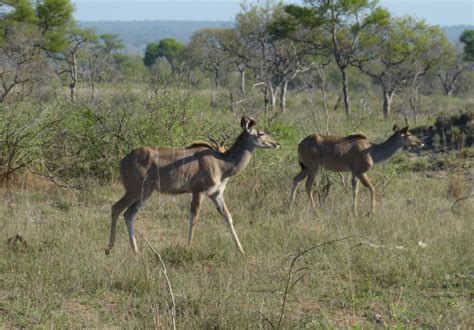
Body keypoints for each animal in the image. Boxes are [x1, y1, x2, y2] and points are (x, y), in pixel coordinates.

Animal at [105, 116, 280, 255]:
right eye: (261, 133)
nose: (276, 144)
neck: (222, 164)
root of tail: (123, 160)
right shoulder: (198, 191)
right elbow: (194, 217)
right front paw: (188, 247)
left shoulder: (216, 194)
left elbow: (228, 216)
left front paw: (241, 250)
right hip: (134, 190)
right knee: (116, 208)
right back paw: (109, 249)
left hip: (146, 193)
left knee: (129, 214)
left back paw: (135, 251)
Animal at [288, 124, 422, 217]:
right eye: (409, 134)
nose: (420, 142)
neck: (373, 152)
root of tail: (300, 144)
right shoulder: (360, 172)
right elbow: (372, 188)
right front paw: (370, 212)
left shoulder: (354, 173)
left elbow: (355, 191)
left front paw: (355, 212)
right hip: (314, 167)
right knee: (308, 185)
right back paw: (315, 211)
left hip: (306, 168)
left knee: (296, 179)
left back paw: (290, 207)